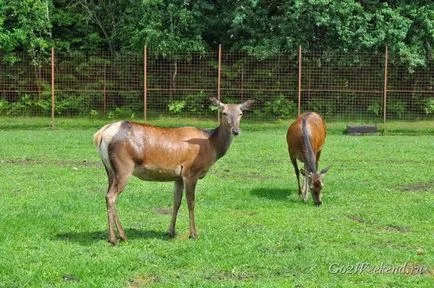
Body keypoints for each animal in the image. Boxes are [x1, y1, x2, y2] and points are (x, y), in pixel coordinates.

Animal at [92, 97, 254, 245]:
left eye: (241, 113)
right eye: (224, 112)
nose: (236, 131)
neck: (211, 147)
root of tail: (100, 134)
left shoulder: (178, 177)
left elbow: (176, 202)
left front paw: (170, 231)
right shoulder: (190, 172)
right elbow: (191, 202)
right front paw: (193, 234)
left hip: (110, 170)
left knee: (108, 195)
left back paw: (122, 235)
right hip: (123, 167)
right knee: (111, 196)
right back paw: (114, 239)